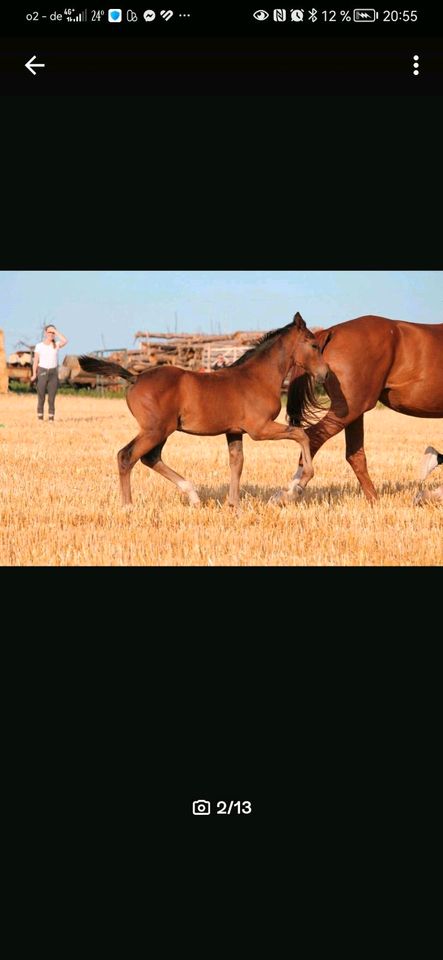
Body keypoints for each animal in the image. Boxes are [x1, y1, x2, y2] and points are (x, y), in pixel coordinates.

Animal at [79, 316, 330, 510]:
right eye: (313, 345)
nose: (325, 374)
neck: (257, 377)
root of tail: (135, 377)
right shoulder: (259, 429)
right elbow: (301, 434)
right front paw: (298, 485)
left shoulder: (234, 431)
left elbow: (237, 462)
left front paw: (234, 505)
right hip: (155, 430)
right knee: (126, 456)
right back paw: (128, 506)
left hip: (161, 431)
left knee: (150, 458)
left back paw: (193, 495)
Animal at [274, 318, 443, 506]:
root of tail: (331, 331)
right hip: (349, 410)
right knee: (313, 437)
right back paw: (290, 493)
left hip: (353, 412)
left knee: (354, 455)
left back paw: (375, 501)